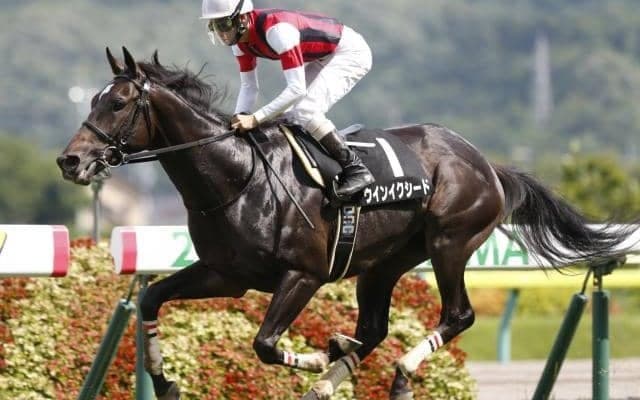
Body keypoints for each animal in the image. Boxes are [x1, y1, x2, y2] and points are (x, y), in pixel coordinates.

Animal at [57, 47, 636, 400]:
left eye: (119, 102)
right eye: (95, 99)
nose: (71, 160)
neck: (237, 178)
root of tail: (487, 164)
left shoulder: (304, 274)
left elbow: (264, 343)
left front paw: (319, 356)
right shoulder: (226, 273)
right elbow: (152, 299)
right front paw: (165, 381)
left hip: (450, 242)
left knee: (458, 314)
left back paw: (390, 371)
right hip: (384, 263)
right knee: (374, 327)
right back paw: (341, 364)